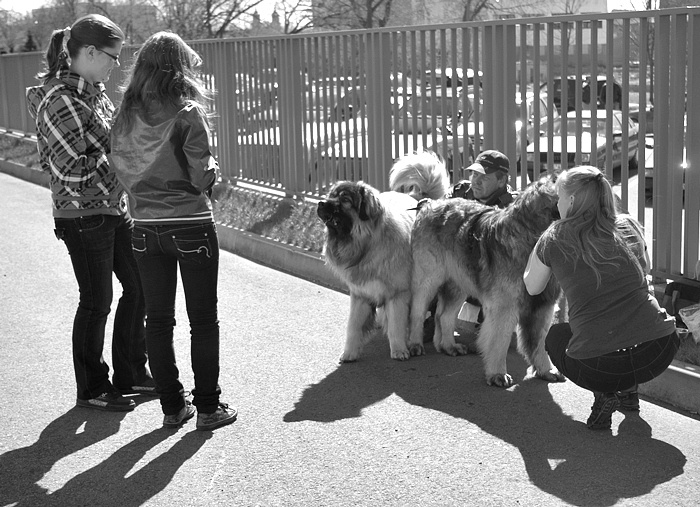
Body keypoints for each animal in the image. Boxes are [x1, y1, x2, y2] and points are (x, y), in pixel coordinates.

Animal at [317, 180, 417, 362]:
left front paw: (399, 350)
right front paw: (349, 353)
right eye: (331, 195)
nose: (320, 203)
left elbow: (396, 325)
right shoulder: (360, 295)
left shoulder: (397, 294)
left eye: (345, 199)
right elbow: (353, 327)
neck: (366, 248)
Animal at [406, 177, 566, 387]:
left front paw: (546, 370)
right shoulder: (504, 307)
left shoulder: (544, 305)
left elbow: (539, 341)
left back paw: (449, 346)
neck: (532, 237)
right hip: (428, 278)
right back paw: (415, 344)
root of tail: (429, 204)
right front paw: (498, 374)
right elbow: (499, 341)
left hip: (458, 283)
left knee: (444, 315)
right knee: (418, 312)